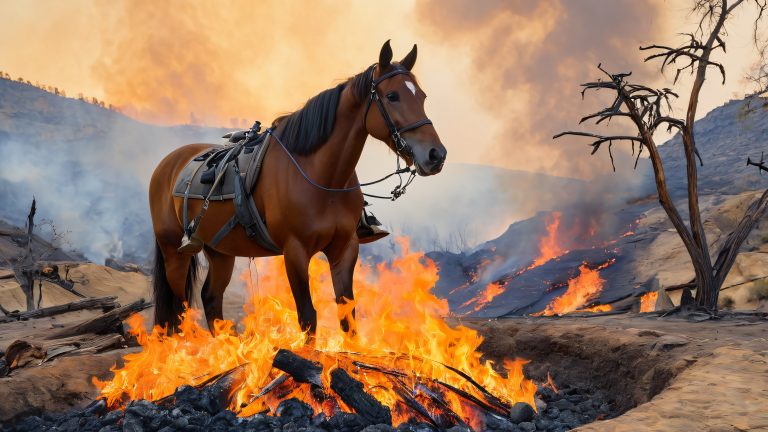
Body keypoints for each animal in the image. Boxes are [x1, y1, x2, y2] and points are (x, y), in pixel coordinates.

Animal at [148, 41, 447, 336]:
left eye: (422, 97)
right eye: (393, 96)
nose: (436, 155)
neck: (324, 181)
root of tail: (167, 164)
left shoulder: (345, 249)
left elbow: (347, 317)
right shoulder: (295, 252)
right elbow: (308, 317)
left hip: (220, 251)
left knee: (211, 299)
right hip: (174, 251)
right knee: (180, 311)